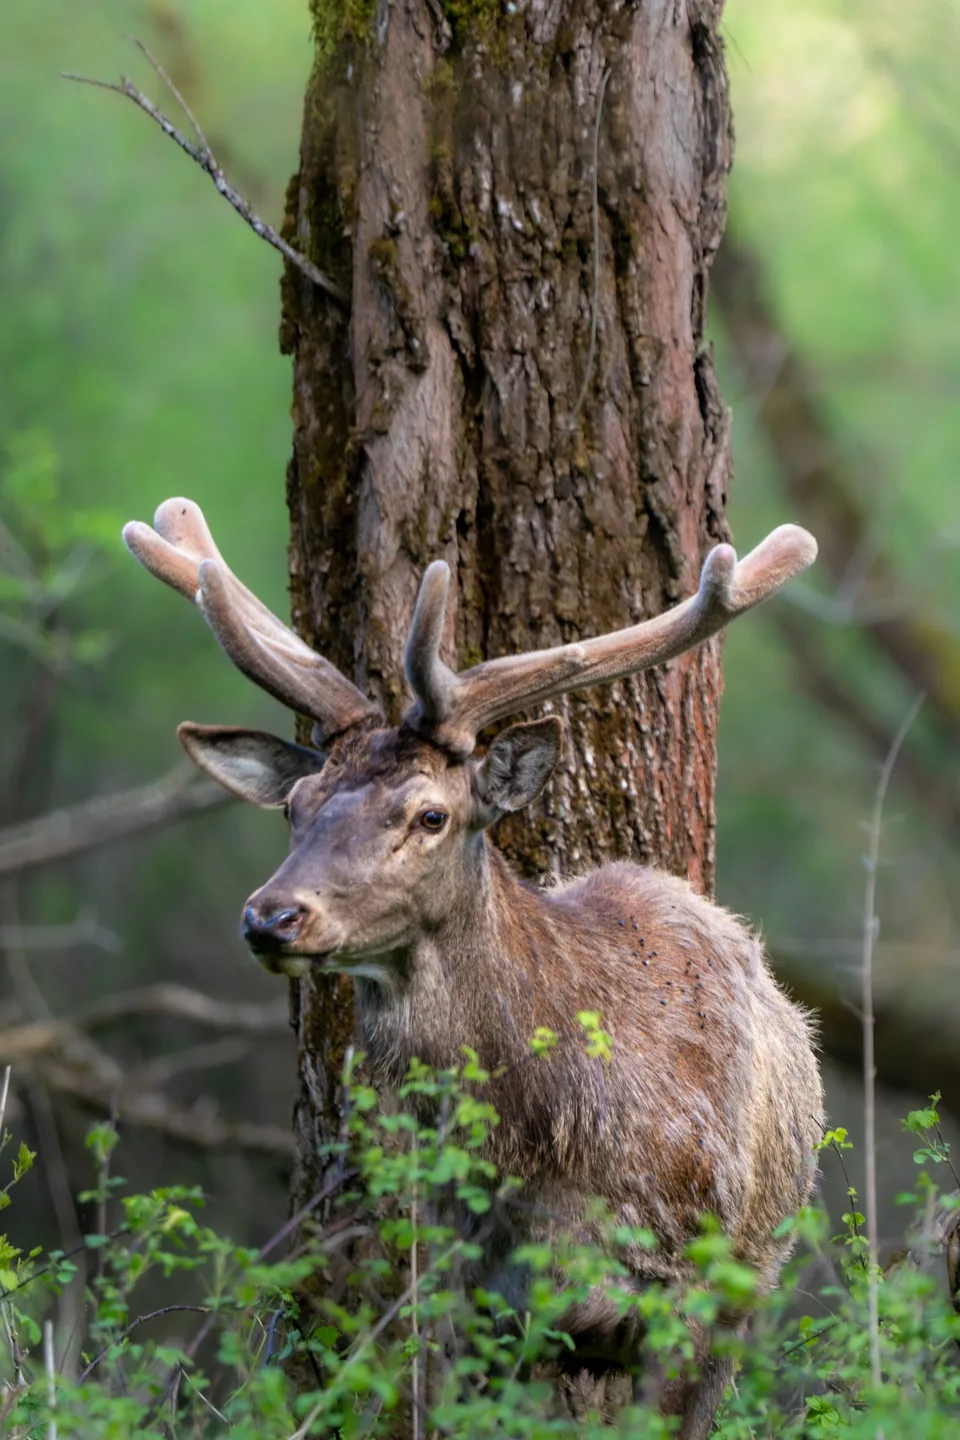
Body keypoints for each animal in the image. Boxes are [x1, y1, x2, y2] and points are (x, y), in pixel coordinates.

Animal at [123, 498, 824, 1439]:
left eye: (430, 815)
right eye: (297, 807)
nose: (272, 916)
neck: (547, 1156)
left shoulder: (688, 1284)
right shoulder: (466, 1288)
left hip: (754, 1268)